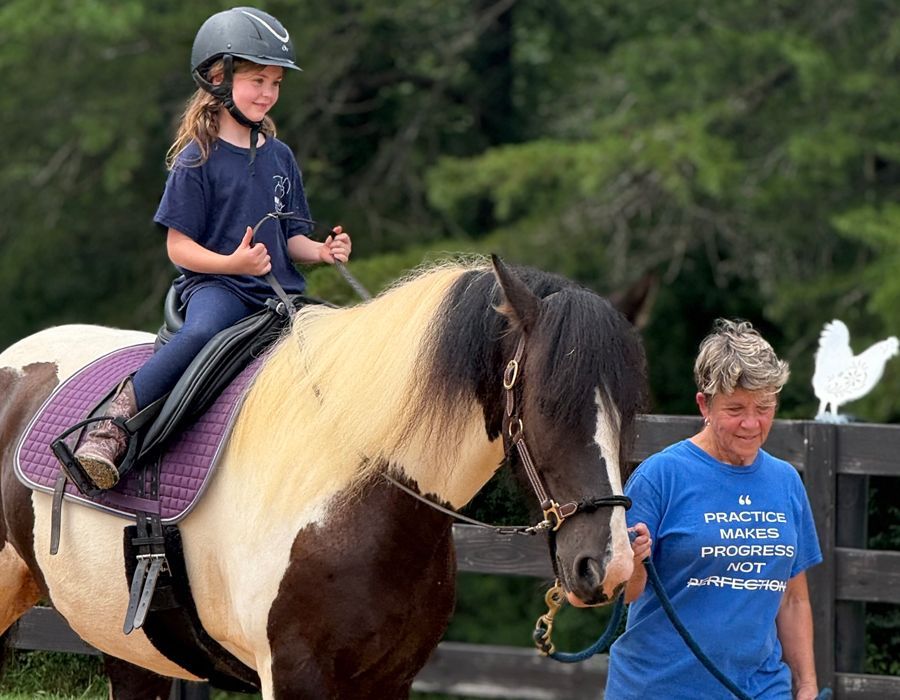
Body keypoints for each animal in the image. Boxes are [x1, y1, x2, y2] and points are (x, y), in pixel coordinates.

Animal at [0, 256, 648, 698]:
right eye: (547, 404)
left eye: (629, 409)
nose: (609, 564)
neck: (351, 489)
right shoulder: (294, 678)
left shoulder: (388, 681)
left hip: (132, 651)